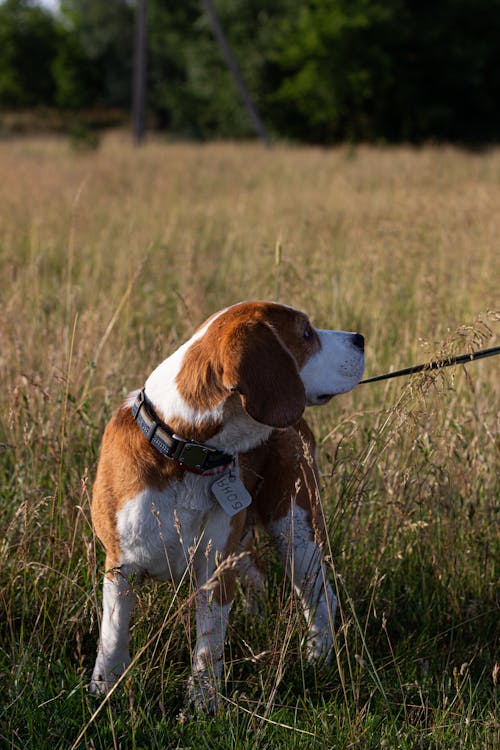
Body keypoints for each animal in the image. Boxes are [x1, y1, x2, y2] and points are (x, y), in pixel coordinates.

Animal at [90, 302, 364, 712]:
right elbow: (113, 633)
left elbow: (209, 641)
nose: (360, 338)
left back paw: (318, 657)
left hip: (296, 529)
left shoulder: (215, 566)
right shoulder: (120, 566)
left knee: (320, 596)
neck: (183, 448)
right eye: (305, 334)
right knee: (259, 575)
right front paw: (103, 689)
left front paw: (202, 703)